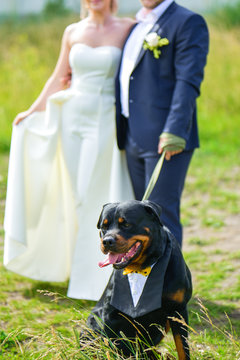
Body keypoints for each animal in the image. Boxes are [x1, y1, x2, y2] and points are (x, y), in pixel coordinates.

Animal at [86, 201, 191, 358]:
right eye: (104, 227)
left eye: (126, 224)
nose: (107, 241)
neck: (142, 268)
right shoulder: (110, 314)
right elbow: (112, 345)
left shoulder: (178, 310)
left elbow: (183, 349)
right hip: (92, 322)